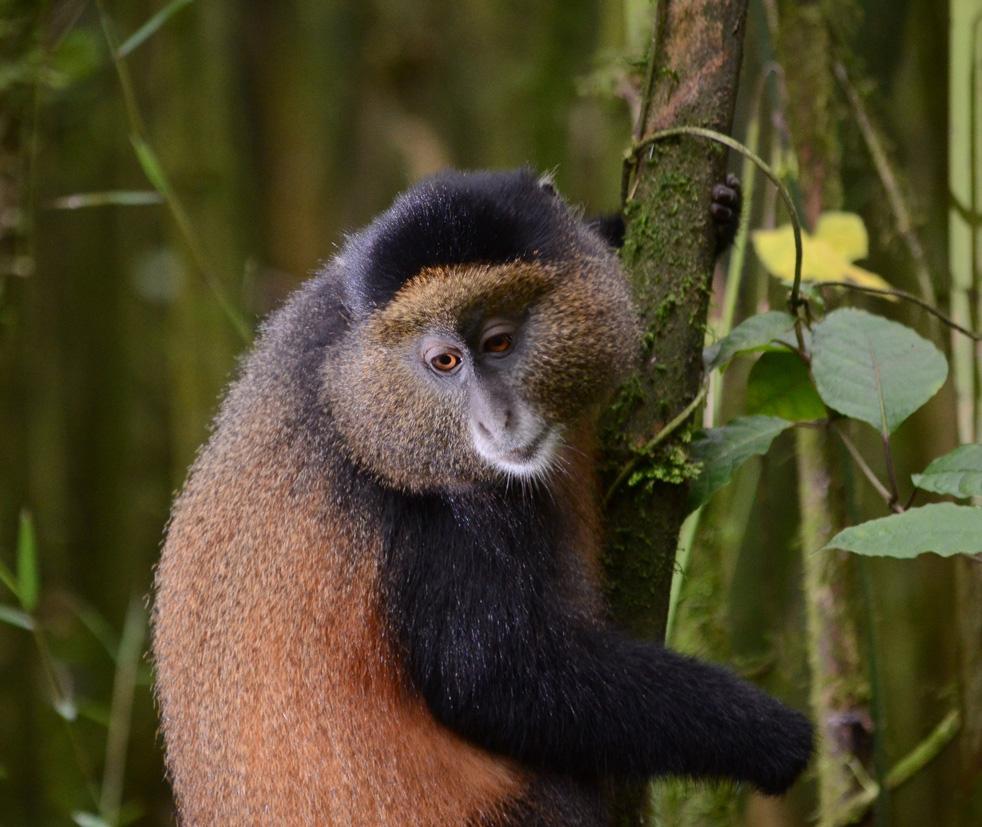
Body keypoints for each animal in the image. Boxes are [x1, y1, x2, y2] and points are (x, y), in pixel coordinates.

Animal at [152, 167, 812, 826]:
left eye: (498, 343)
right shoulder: (442, 527)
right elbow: (501, 683)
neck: (358, 400)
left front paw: (710, 212)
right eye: (445, 361)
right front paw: (764, 732)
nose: (499, 418)